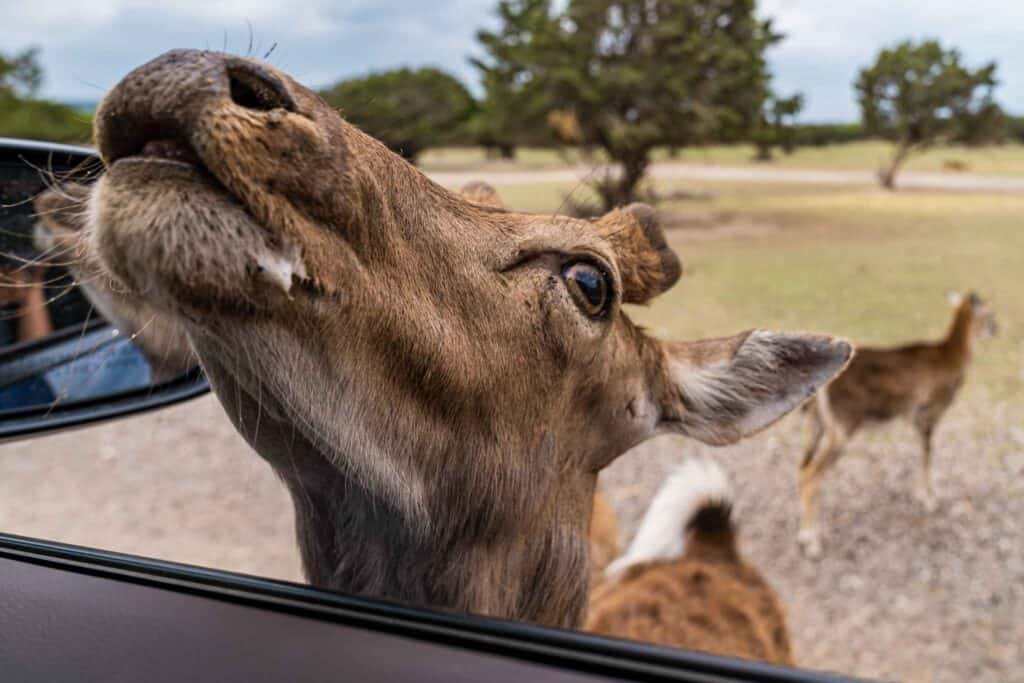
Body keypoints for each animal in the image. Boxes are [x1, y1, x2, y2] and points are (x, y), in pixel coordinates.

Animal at [798, 290, 999, 557]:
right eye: (988, 313)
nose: (996, 328)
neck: (951, 358)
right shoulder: (929, 413)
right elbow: (927, 454)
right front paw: (930, 501)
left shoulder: (914, 418)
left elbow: (920, 453)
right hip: (841, 429)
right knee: (812, 476)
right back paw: (813, 544)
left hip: (815, 427)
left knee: (802, 469)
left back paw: (805, 535)